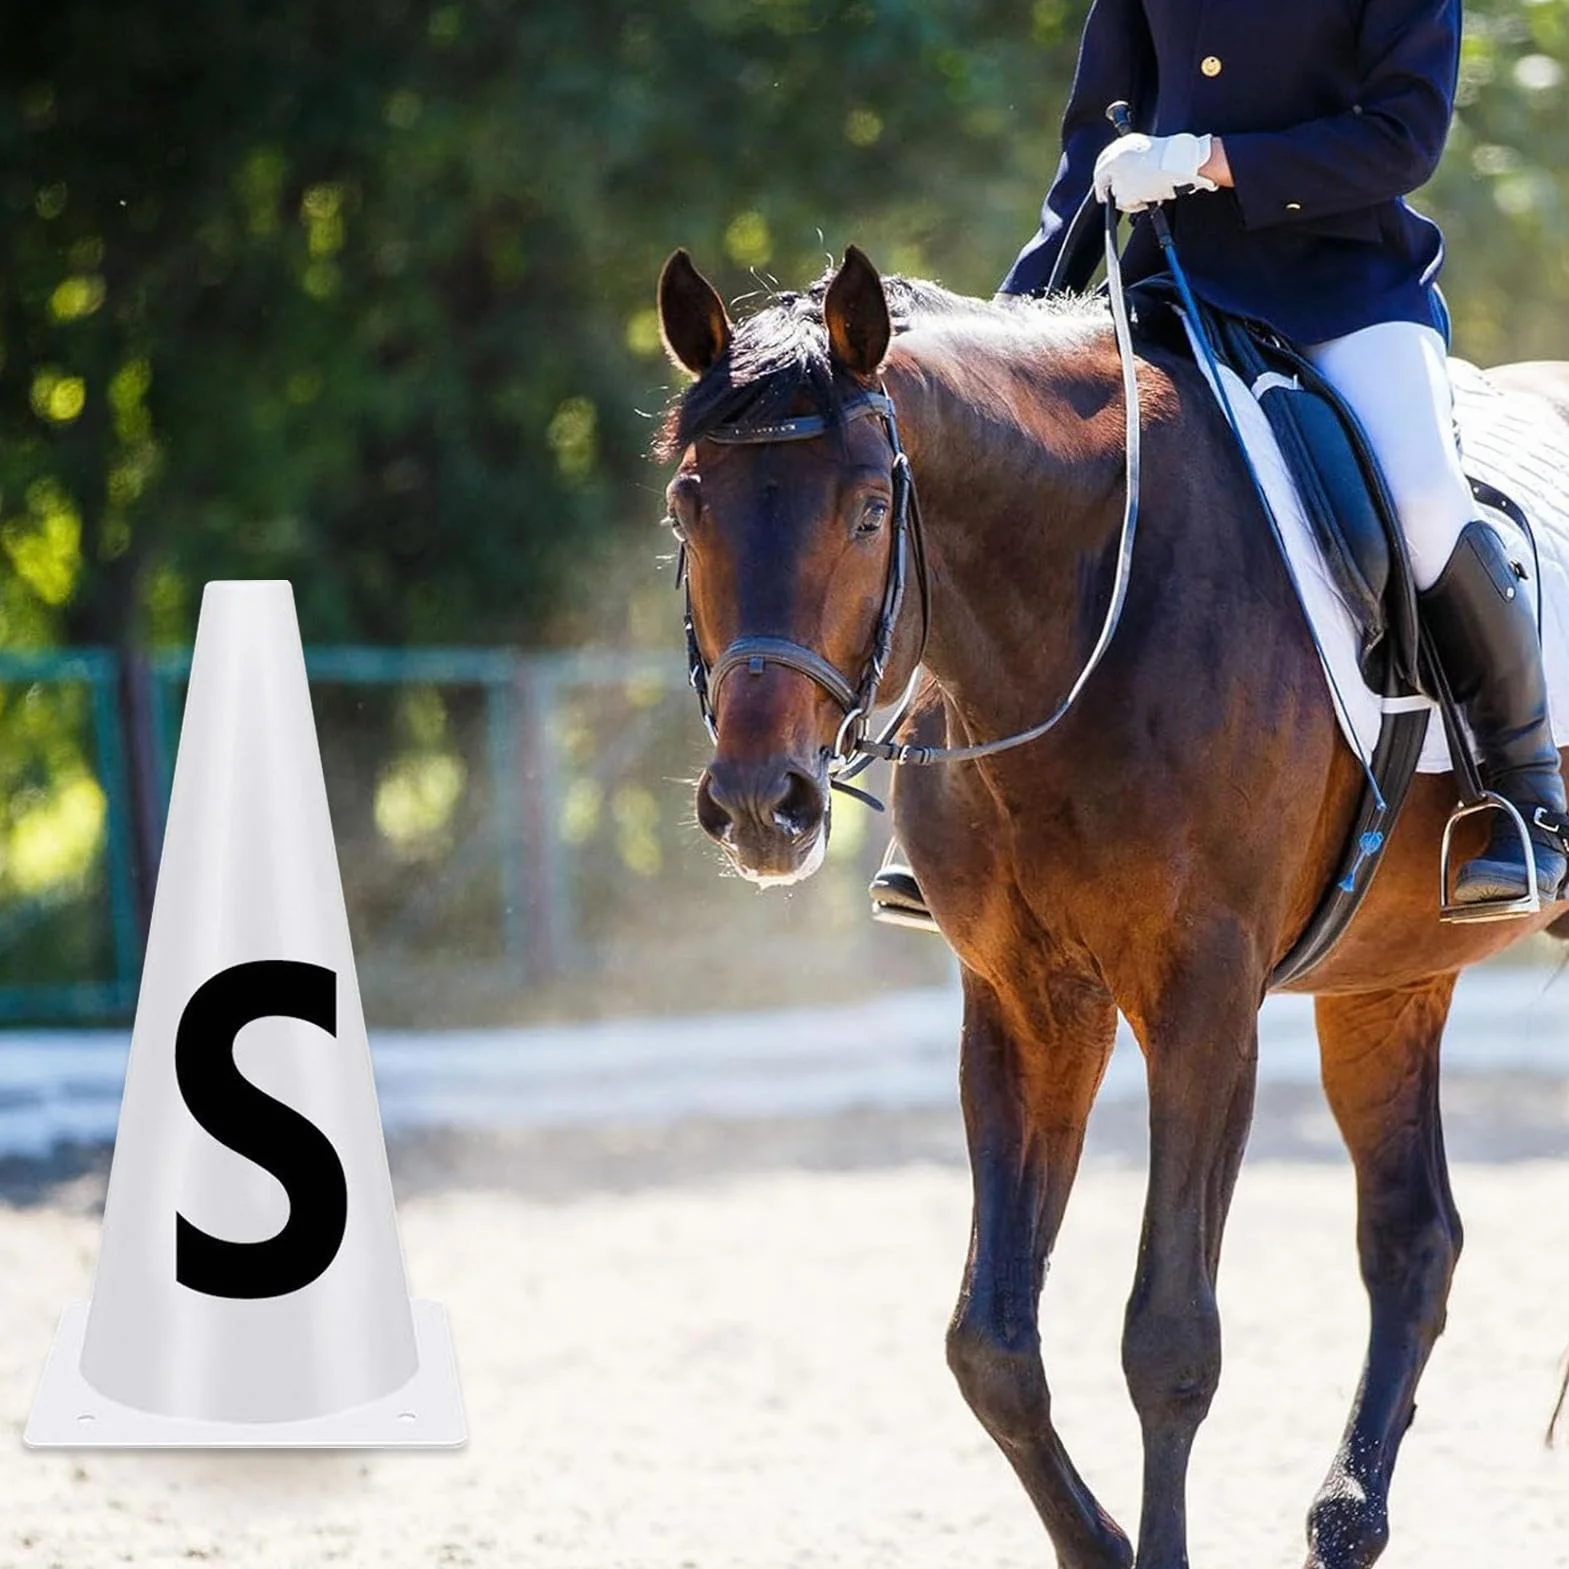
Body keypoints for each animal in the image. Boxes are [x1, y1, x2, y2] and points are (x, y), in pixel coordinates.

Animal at [654, 243, 1569, 1569]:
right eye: (689, 506)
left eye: (869, 510)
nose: (759, 805)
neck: (1078, 608)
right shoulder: (1026, 1005)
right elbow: (989, 1345)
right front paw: (1102, 1545)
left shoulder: (1204, 1003)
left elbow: (1170, 1338)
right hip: (1389, 977)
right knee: (1413, 1241)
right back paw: (1343, 1525)